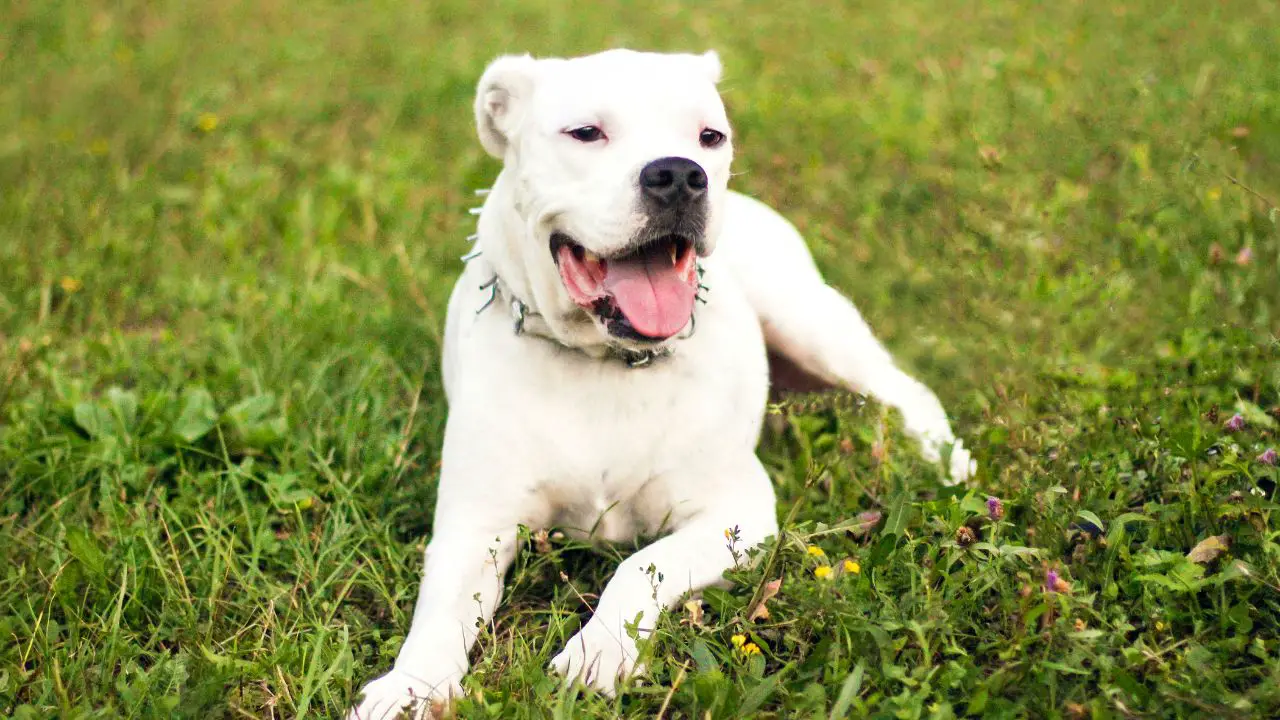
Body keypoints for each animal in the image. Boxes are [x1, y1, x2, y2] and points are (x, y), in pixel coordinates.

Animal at [350, 47, 967, 712]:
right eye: (586, 132)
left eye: (709, 136)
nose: (679, 174)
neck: (607, 362)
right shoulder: (474, 526)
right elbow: (438, 614)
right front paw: (410, 687)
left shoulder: (736, 513)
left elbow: (642, 567)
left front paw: (598, 652)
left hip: (807, 320)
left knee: (903, 389)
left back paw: (946, 461)